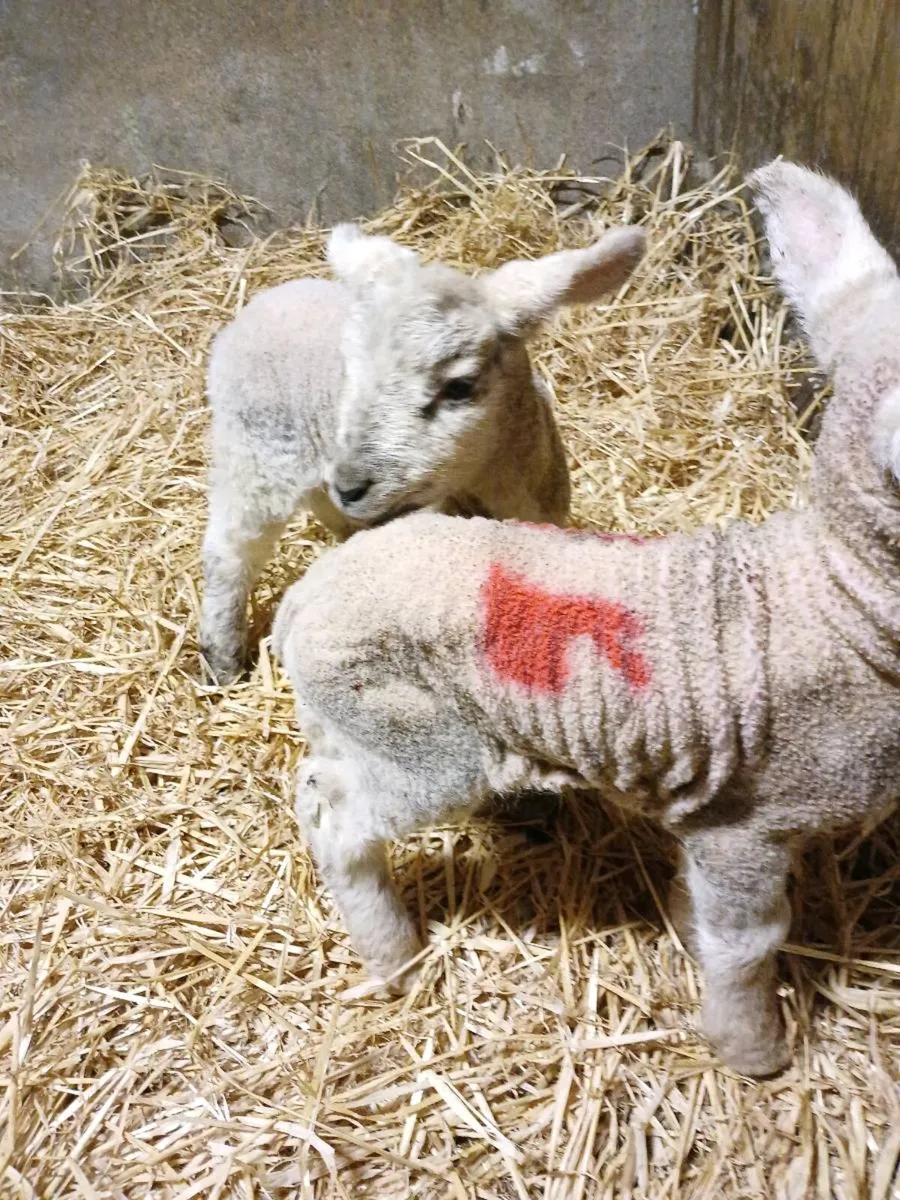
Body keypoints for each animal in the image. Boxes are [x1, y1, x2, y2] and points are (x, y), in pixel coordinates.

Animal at [198, 221, 647, 683]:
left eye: (459, 386)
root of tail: (266, 299)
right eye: (352, 373)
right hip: (257, 454)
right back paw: (223, 659)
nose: (350, 486)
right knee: (230, 550)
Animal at [271, 161, 900, 1077]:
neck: (832, 594)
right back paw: (395, 957)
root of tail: (305, 597)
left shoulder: (716, 820)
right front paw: (752, 1048)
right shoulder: (749, 825)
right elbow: (748, 944)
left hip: (347, 719)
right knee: (337, 821)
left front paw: (684, 936)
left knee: (316, 783)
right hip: (421, 740)